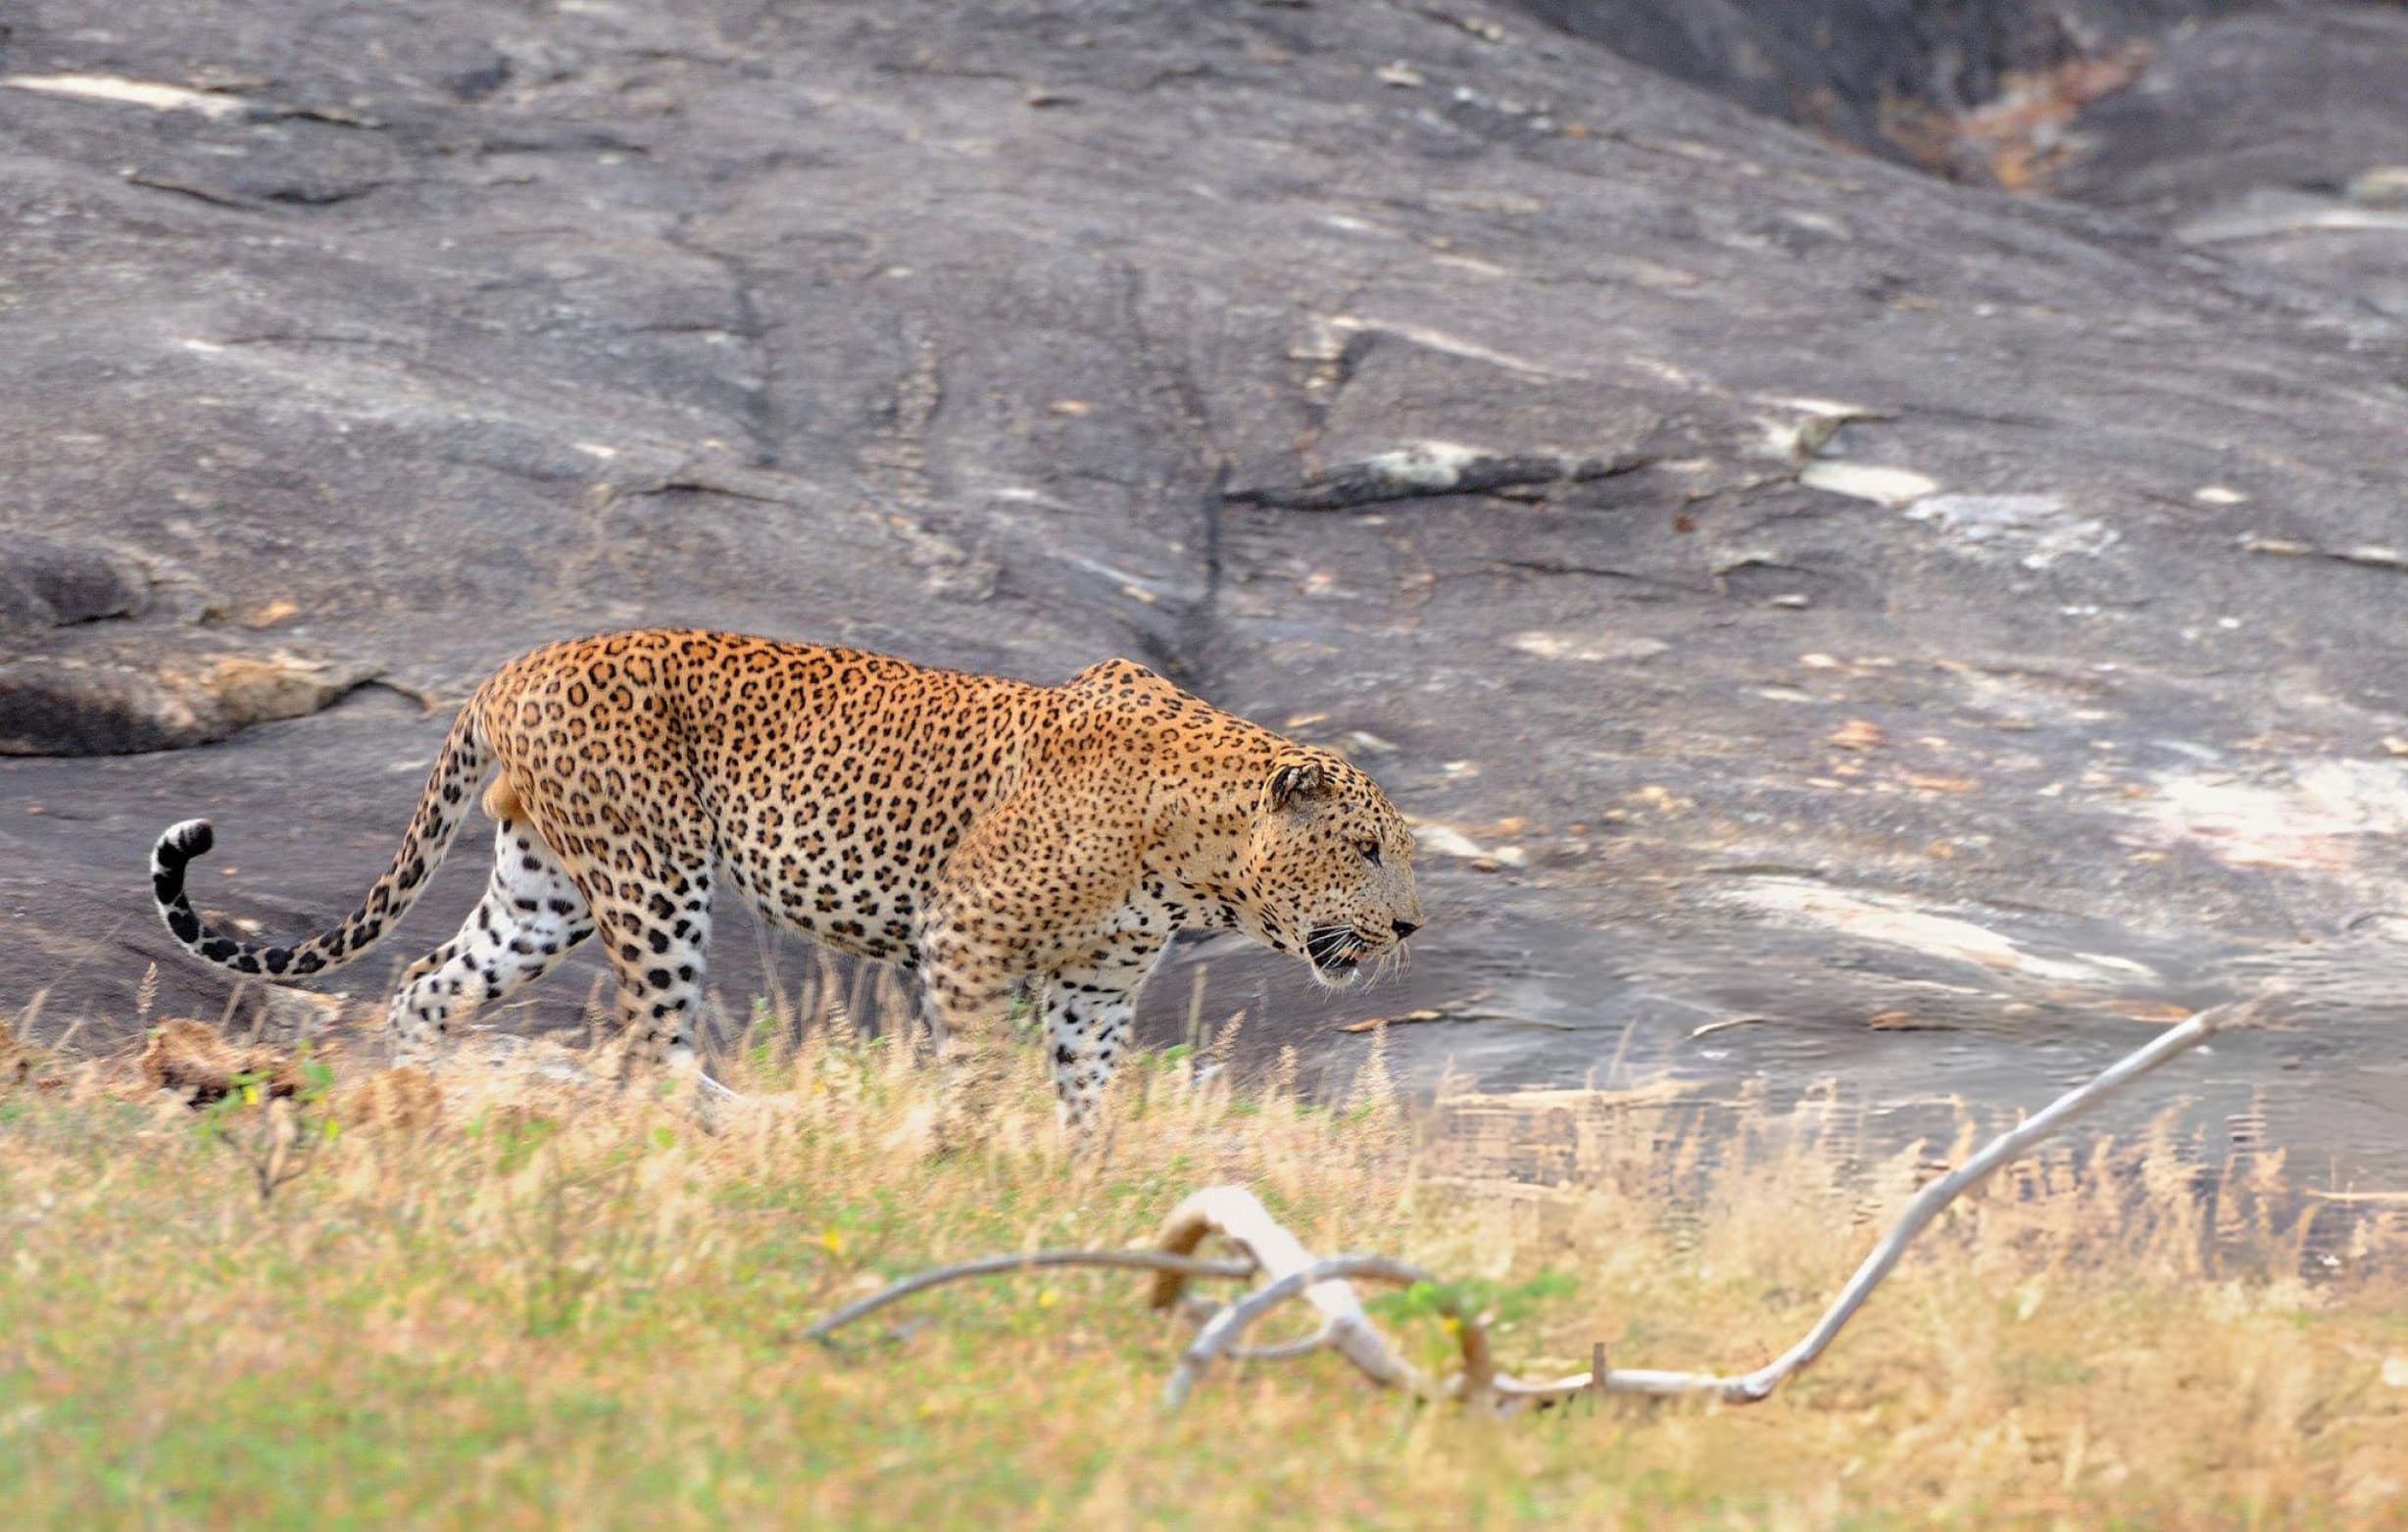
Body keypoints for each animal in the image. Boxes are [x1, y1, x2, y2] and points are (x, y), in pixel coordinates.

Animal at [147, 628, 1425, 1132]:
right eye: (1366, 850)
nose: (1414, 926)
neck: (1198, 853)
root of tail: (515, 666)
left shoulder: (1096, 986)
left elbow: (1084, 1088)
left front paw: (1082, 1171)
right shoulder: (966, 932)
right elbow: (981, 1070)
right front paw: (968, 1148)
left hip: (543, 894)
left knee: (427, 986)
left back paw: (421, 1101)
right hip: (655, 878)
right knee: (651, 1046)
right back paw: (744, 1120)